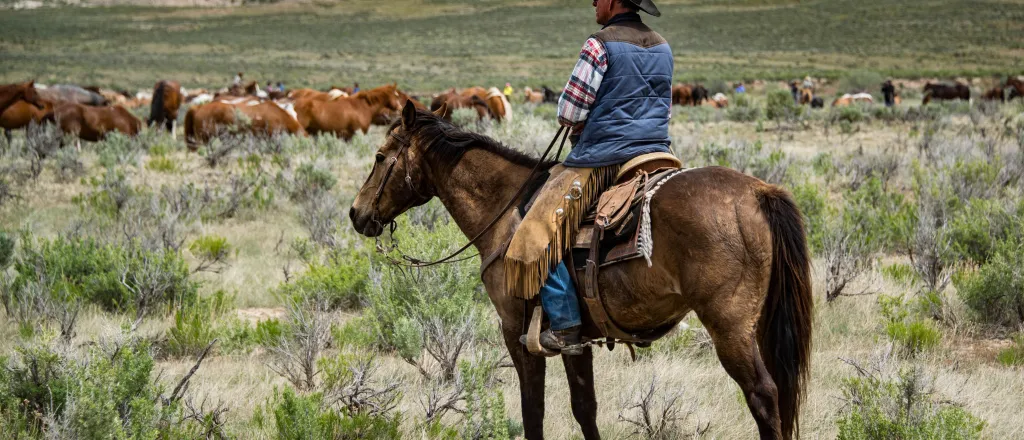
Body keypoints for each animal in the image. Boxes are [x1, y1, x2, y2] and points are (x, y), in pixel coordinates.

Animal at [348, 102, 811, 435]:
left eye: (380, 156)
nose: (356, 213)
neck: (506, 211)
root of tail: (759, 191)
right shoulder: (576, 339)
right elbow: (584, 407)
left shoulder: (517, 332)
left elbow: (532, 411)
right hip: (759, 324)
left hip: (729, 328)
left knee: (764, 396)